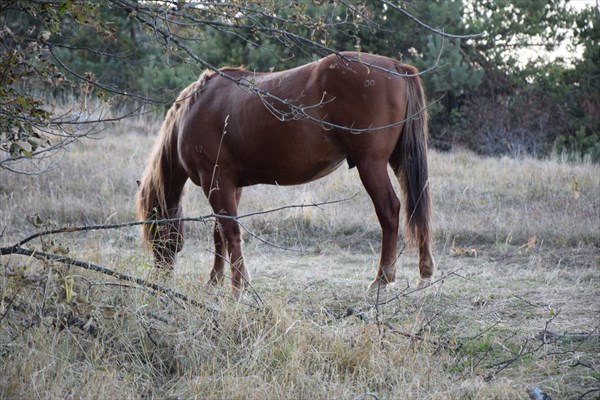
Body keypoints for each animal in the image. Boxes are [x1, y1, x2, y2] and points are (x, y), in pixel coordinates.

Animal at [137, 51, 436, 296]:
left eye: (154, 228)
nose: (161, 276)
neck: (195, 108)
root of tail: (396, 66)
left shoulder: (216, 179)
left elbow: (230, 230)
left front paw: (238, 286)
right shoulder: (231, 184)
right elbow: (220, 232)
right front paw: (215, 282)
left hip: (370, 164)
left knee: (390, 211)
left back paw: (382, 279)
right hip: (398, 161)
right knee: (417, 208)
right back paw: (424, 273)